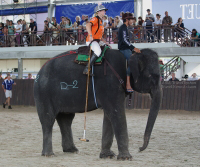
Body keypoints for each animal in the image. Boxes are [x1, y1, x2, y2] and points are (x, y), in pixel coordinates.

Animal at [34, 48, 162, 159]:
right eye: (151, 76)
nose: (140, 149)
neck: (128, 56)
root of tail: (39, 71)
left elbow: (110, 114)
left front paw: (108, 156)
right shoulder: (109, 83)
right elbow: (116, 112)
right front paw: (126, 158)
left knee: (66, 119)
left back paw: (72, 150)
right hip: (44, 93)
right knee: (48, 119)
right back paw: (49, 154)